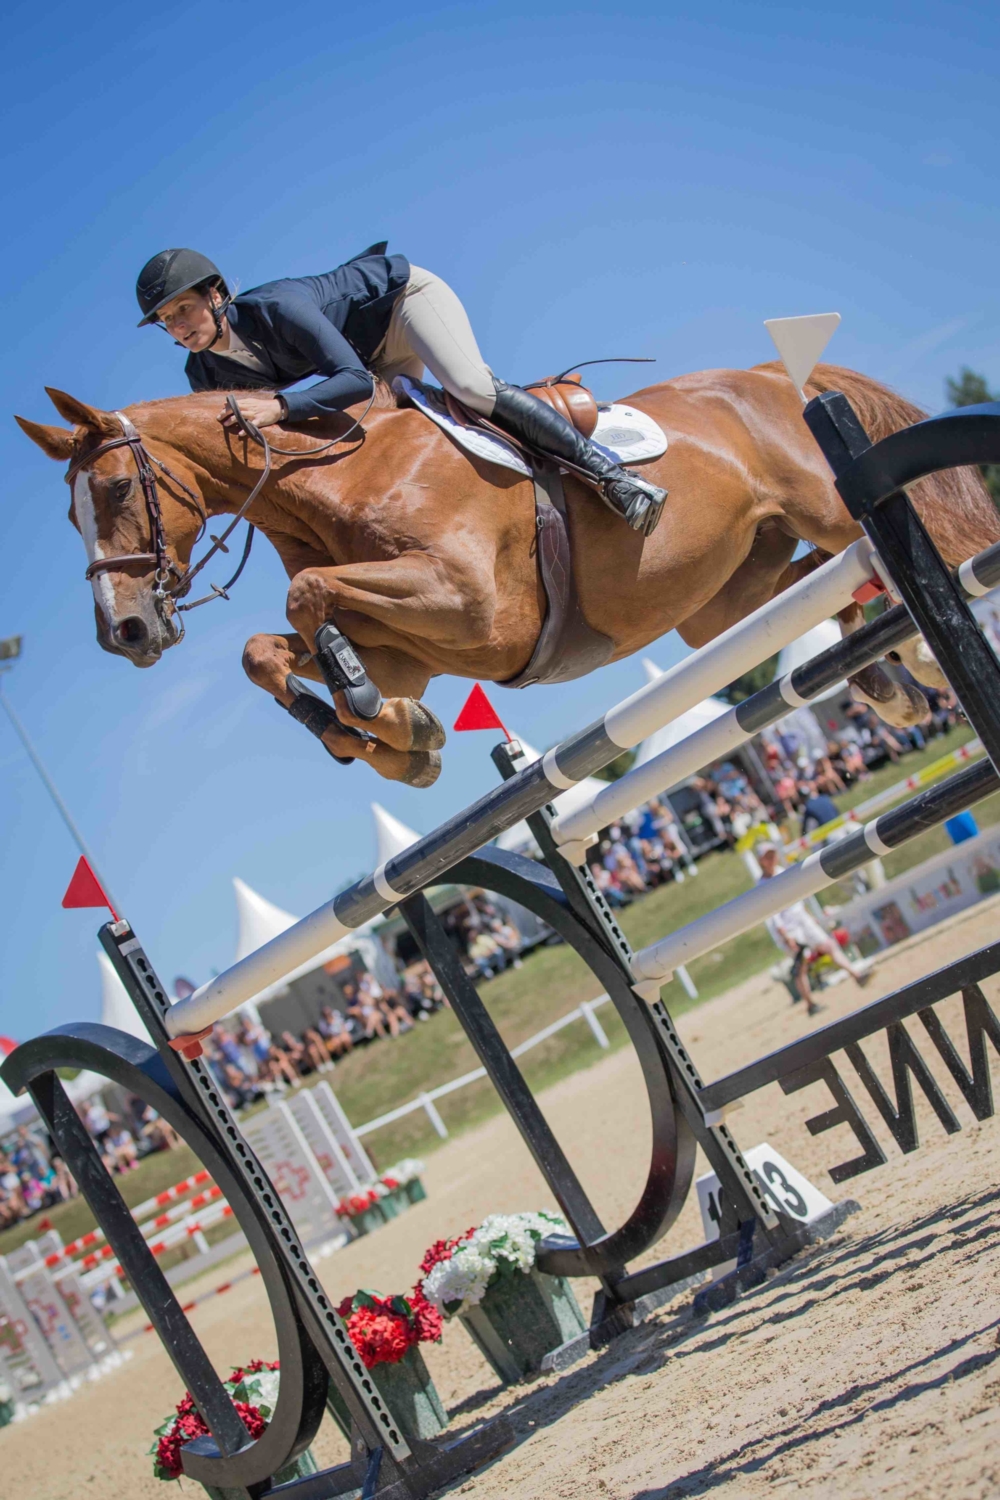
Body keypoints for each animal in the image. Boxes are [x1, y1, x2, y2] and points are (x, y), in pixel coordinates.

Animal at [17, 366, 1000, 786]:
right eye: (66, 516)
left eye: (113, 489)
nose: (125, 633)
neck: (329, 481)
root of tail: (771, 374)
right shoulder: (412, 645)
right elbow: (270, 649)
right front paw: (392, 741)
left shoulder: (470, 606)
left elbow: (305, 597)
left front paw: (378, 722)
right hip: (723, 597)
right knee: (824, 583)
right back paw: (888, 682)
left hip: (830, 504)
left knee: (914, 554)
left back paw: (928, 654)